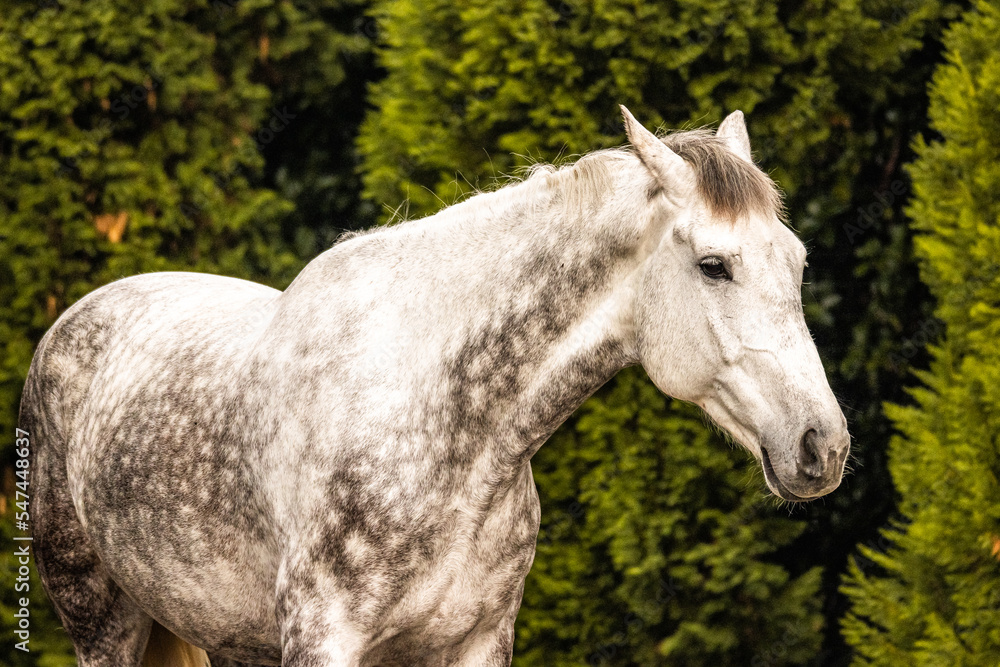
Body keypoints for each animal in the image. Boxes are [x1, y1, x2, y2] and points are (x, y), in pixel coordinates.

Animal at [21, 107, 850, 666]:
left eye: (798, 260)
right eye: (714, 265)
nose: (824, 444)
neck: (446, 430)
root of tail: (76, 320)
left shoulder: (479, 639)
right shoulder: (321, 636)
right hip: (101, 620)